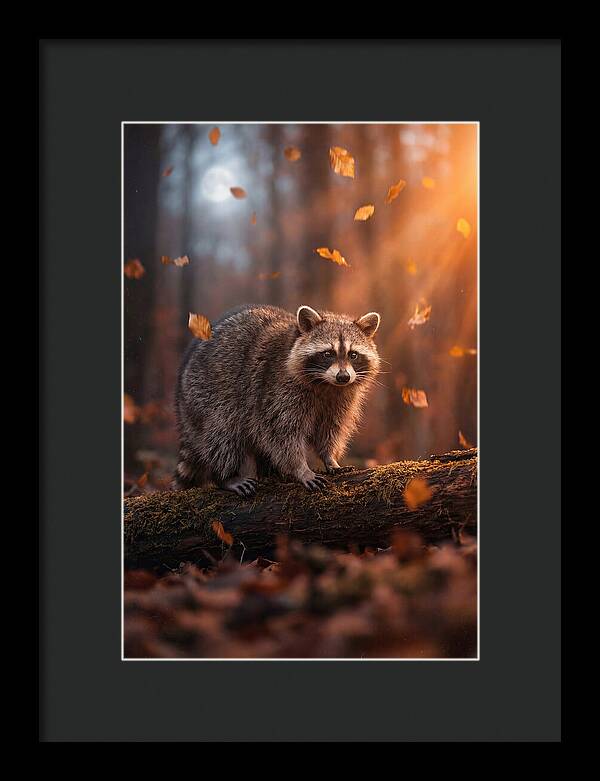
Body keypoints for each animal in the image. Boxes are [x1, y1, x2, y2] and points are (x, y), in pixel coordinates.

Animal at [174, 304, 381, 495]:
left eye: (353, 355)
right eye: (328, 354)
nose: (343, 377)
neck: (327, 385)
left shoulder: (341, 399)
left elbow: (330, 429)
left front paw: (330, 458)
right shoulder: (276, 390)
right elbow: (282, 434)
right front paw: (301, 469)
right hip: (207, 395)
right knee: (222, 434)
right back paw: (226, 476)